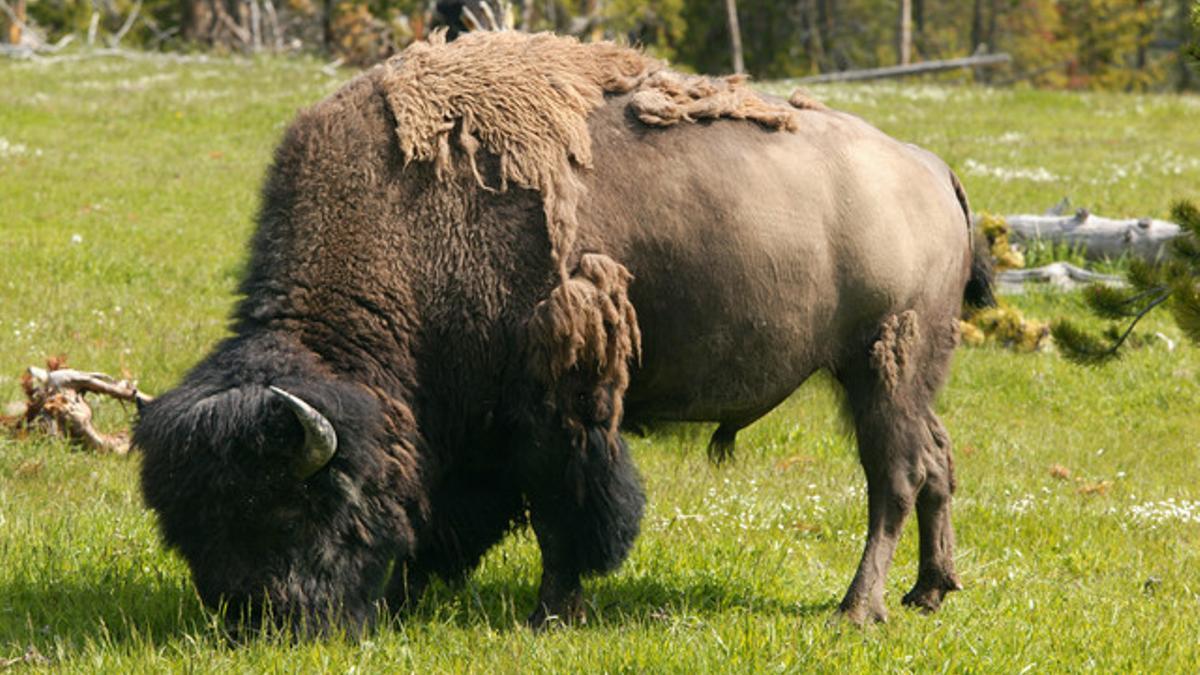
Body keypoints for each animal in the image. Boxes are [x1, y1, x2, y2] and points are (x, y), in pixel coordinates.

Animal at [133, 31, 993, 634]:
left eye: (294, 507)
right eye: (187, 525)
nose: (259, 623)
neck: (407, 221)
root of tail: (930, 168)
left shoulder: (556, 400)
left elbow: (564, 503)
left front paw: (551, 610)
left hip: (881, 366)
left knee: (894, 479)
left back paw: (858, 607)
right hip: (908, 376)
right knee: (938, 461)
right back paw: (929, 591)